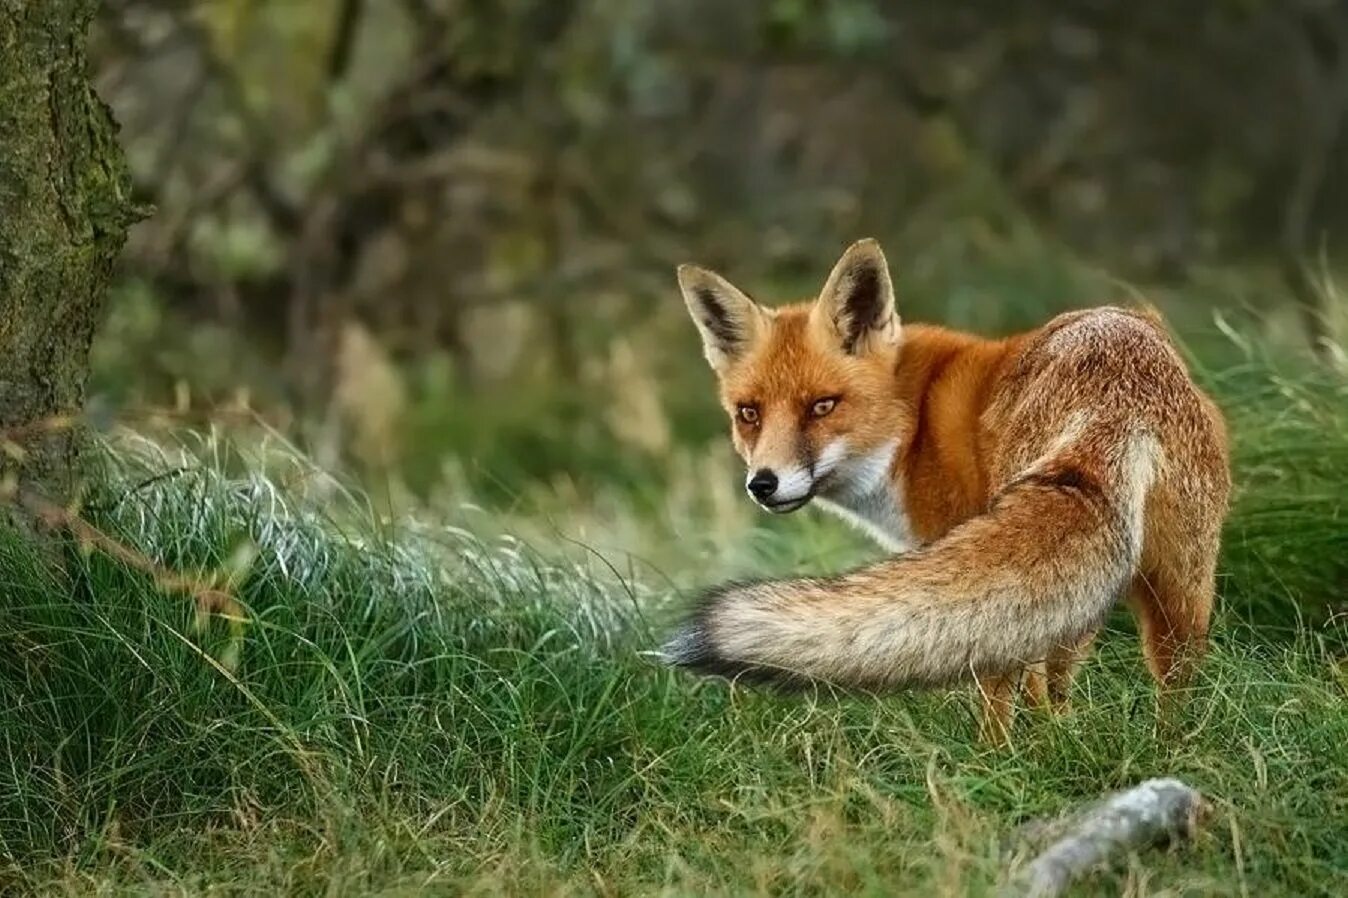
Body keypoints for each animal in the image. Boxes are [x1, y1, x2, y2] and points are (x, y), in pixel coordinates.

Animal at [663, 234, 1234, 738]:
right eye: (749, 414)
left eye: (822, 406)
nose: (763, 483)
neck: (914, 425)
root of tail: (1119, 400)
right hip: (1174, 591)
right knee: (1162, 684)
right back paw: (1162, 749)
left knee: (1017, 690)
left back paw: (999, 759)